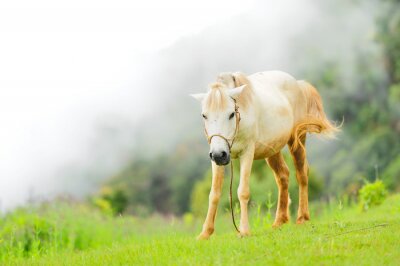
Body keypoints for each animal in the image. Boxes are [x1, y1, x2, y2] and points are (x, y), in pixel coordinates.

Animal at [191, 70, 338, 239]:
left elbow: (243, 191)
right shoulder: (217, 158)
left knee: (302, 174)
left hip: (297, 139)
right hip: (272, 150)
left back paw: (302, 218)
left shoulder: (247, 153)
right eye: (204, 115)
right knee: (283, 176)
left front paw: (244, 230)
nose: (218, 155)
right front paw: (205, 233)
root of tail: (297, 84)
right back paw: (280, 220)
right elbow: (214, 193)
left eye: (231, 114)